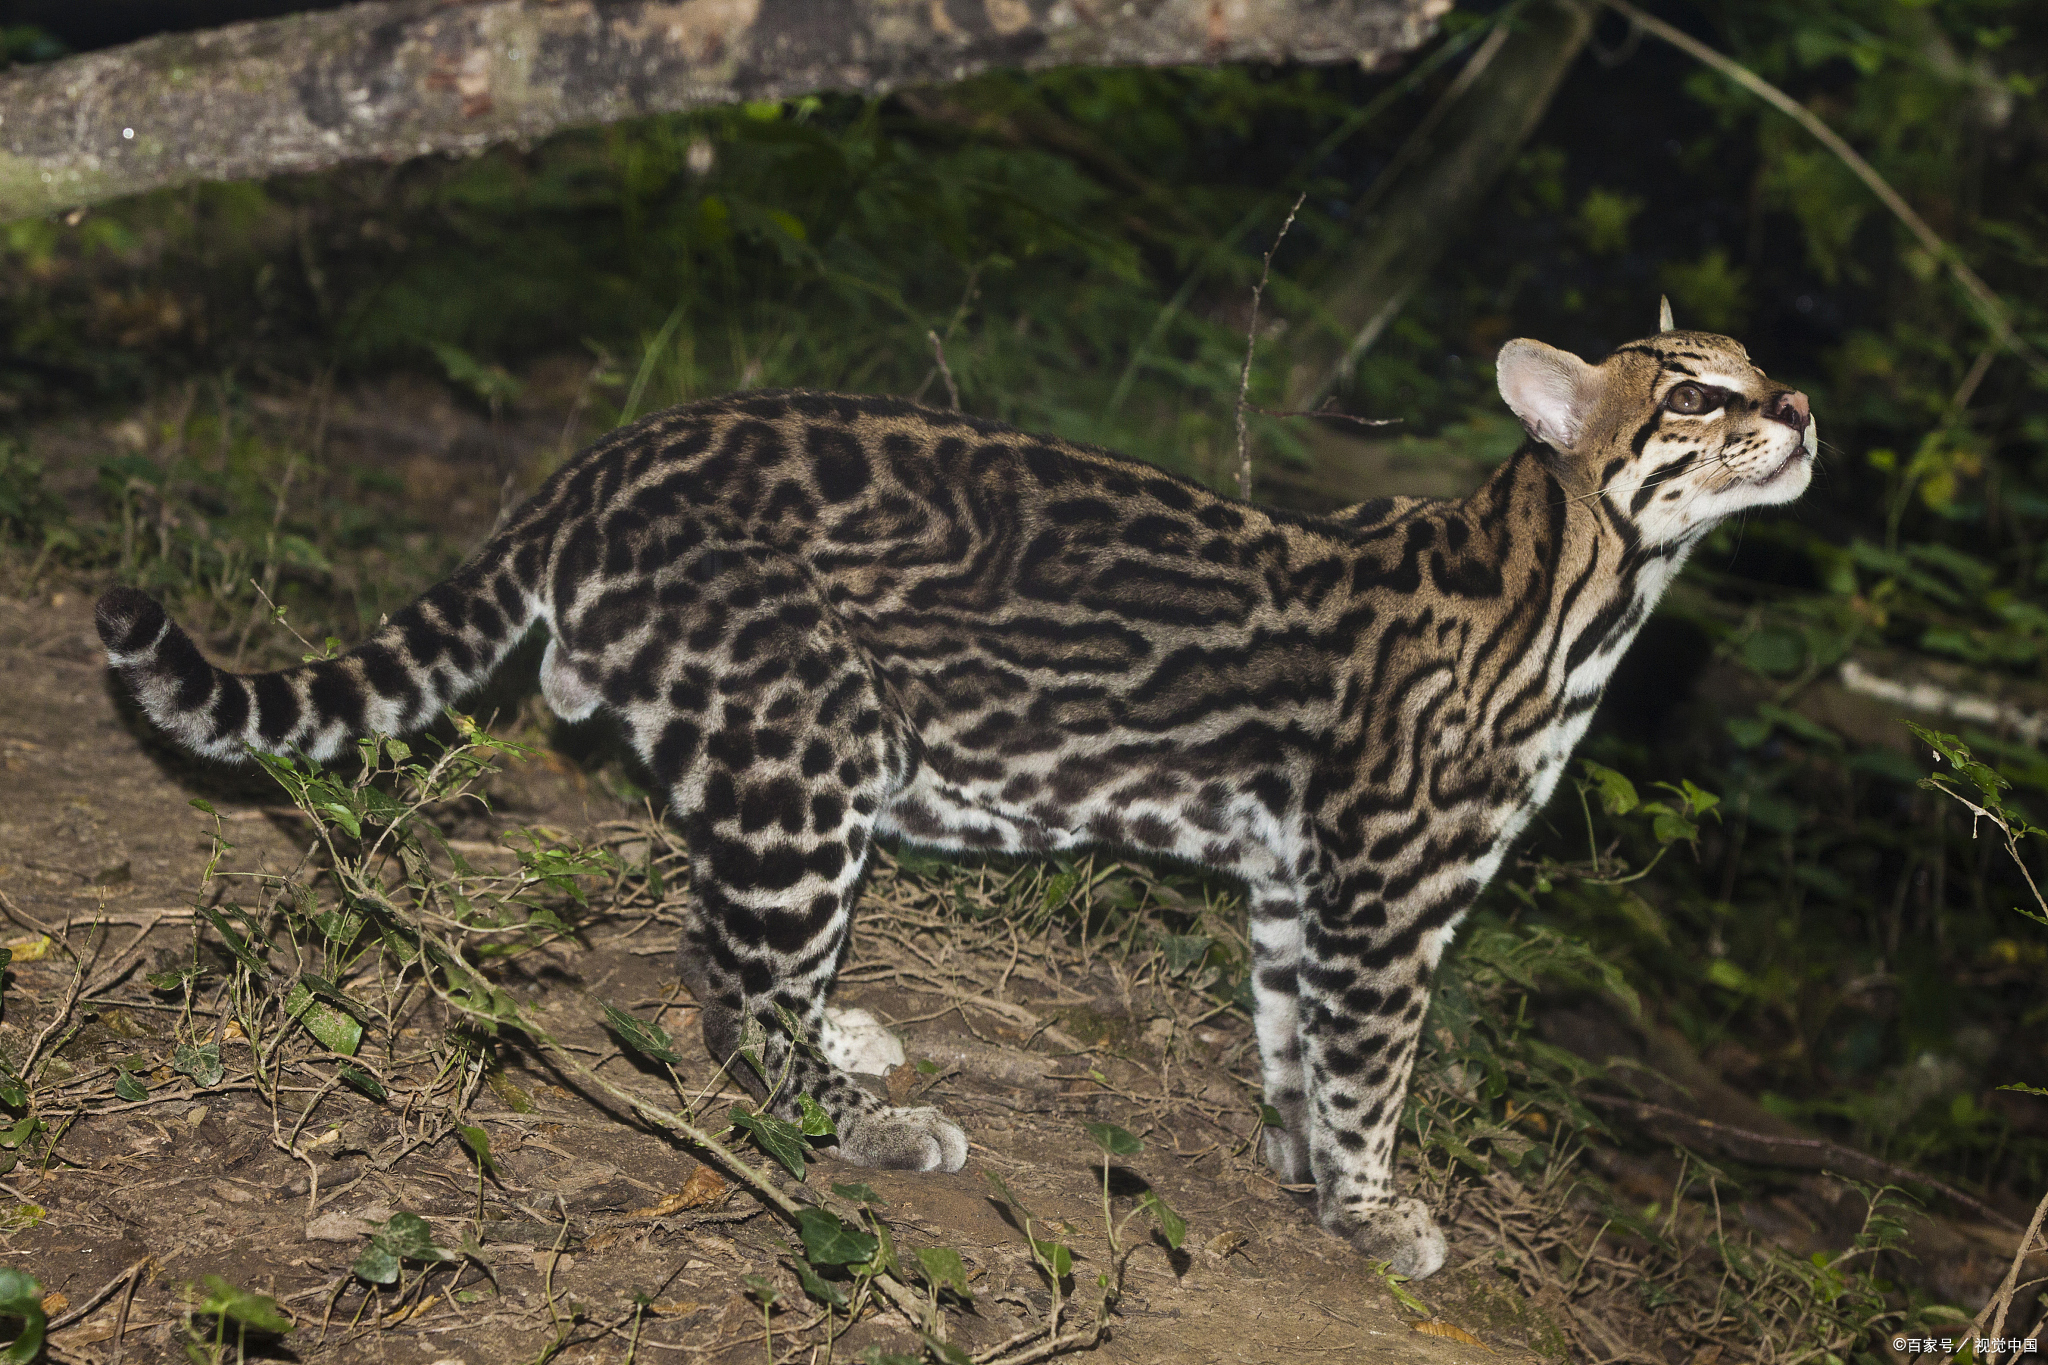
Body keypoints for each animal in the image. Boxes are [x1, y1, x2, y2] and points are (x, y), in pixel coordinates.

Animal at [103, 315, 1818, 1277]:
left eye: (1762, 369)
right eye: (1695, 392)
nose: (1800, 410)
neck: (1583, 586)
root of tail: (604, 458)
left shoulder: (1300, 884)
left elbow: (1291, 1035)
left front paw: (1297, 1166)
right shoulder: (1387, 894)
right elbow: (1371, 1067)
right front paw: (1375, 1206)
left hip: (777, 754)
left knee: (715, 951)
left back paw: (846, 1044)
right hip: (812, 741)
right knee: (741, 1008)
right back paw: (857, 1119)